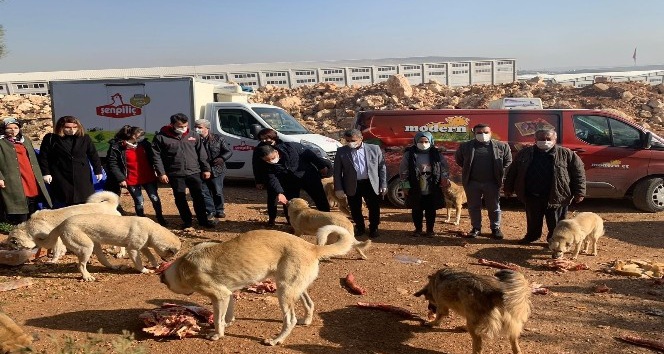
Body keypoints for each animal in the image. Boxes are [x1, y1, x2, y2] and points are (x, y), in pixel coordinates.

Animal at [46, 214, 182, 280]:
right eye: (172, 254)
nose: (170, 261)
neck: (151, 230)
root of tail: (61, 224)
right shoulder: (133, 250)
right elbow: (138, 263)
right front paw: (144, 270)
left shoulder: (143, 247)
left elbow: (151, 256)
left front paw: (157, 266)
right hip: (86, 247)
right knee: (81, 265)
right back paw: (87, 277)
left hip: (95, 245)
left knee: (102, 260)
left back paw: (113, 267)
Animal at [159, 225, 356, 344]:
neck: (183, 266)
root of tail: (312, 247)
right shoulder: (228, 294)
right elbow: (227, 315)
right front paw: (227, 324)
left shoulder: (219, 295)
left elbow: (217, 320)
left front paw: (216, 334)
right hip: (295, 287)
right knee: (309, 304)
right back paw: (306, 321)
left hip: (284, 291)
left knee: (290, 320)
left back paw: (276, 340)